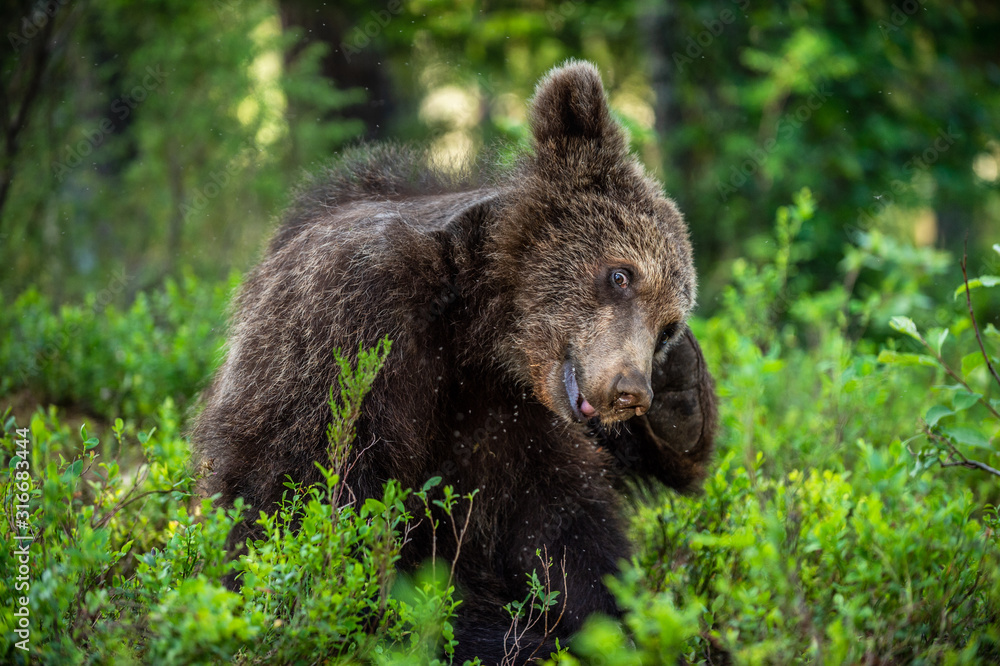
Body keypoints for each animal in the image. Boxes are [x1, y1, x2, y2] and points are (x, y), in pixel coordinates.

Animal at [192, 60, 717, 664]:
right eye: (620, 274)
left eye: (667, 326)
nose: (632, 390)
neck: (481, 330)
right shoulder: (350, 322)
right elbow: (304, 501)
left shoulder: (511, 420)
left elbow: (566, 532)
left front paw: (680, 392)